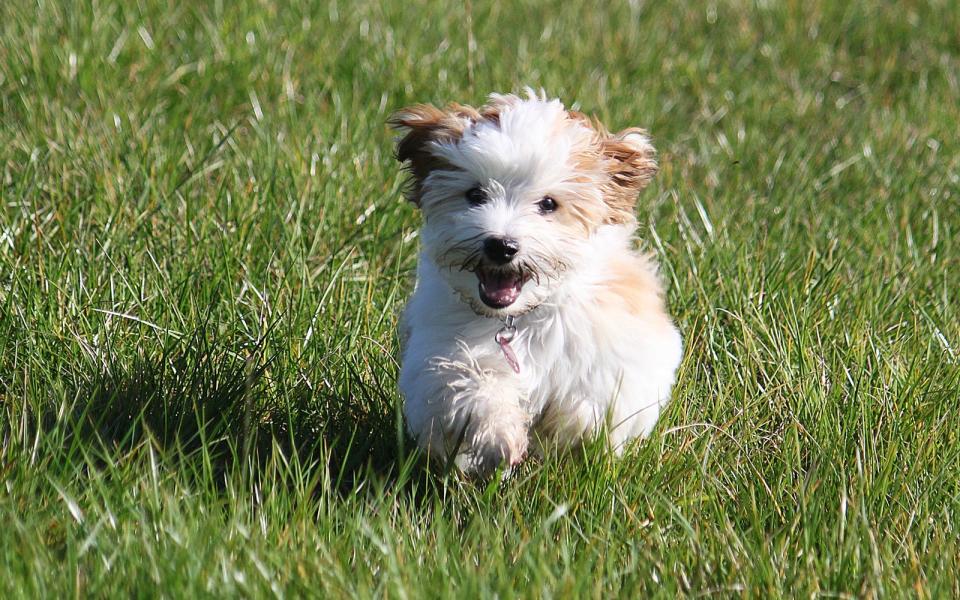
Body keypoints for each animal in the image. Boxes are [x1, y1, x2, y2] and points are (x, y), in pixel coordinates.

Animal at [390, 89, 684, 476]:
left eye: (548, 204)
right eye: (475, 195)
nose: (501, 245)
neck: (522, 316)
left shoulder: (619, 354)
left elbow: (590, 403)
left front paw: (566, 429)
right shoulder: (440, 352)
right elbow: (471, 387)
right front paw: (500, 437)